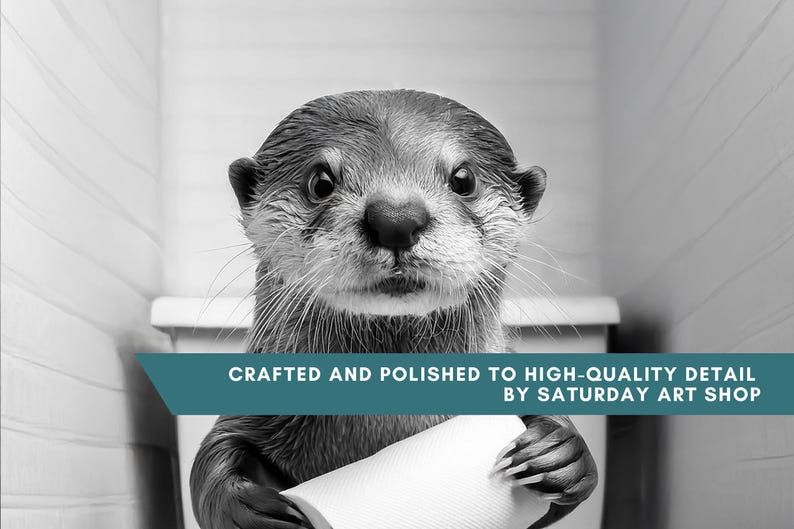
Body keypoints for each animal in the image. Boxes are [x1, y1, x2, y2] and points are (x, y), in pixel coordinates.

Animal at [190, 90, 597, 529]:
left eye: (463, 178)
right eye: (320, 181)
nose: (396, 219)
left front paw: (560, 450)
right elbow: (211, 459)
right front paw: (253, 510)